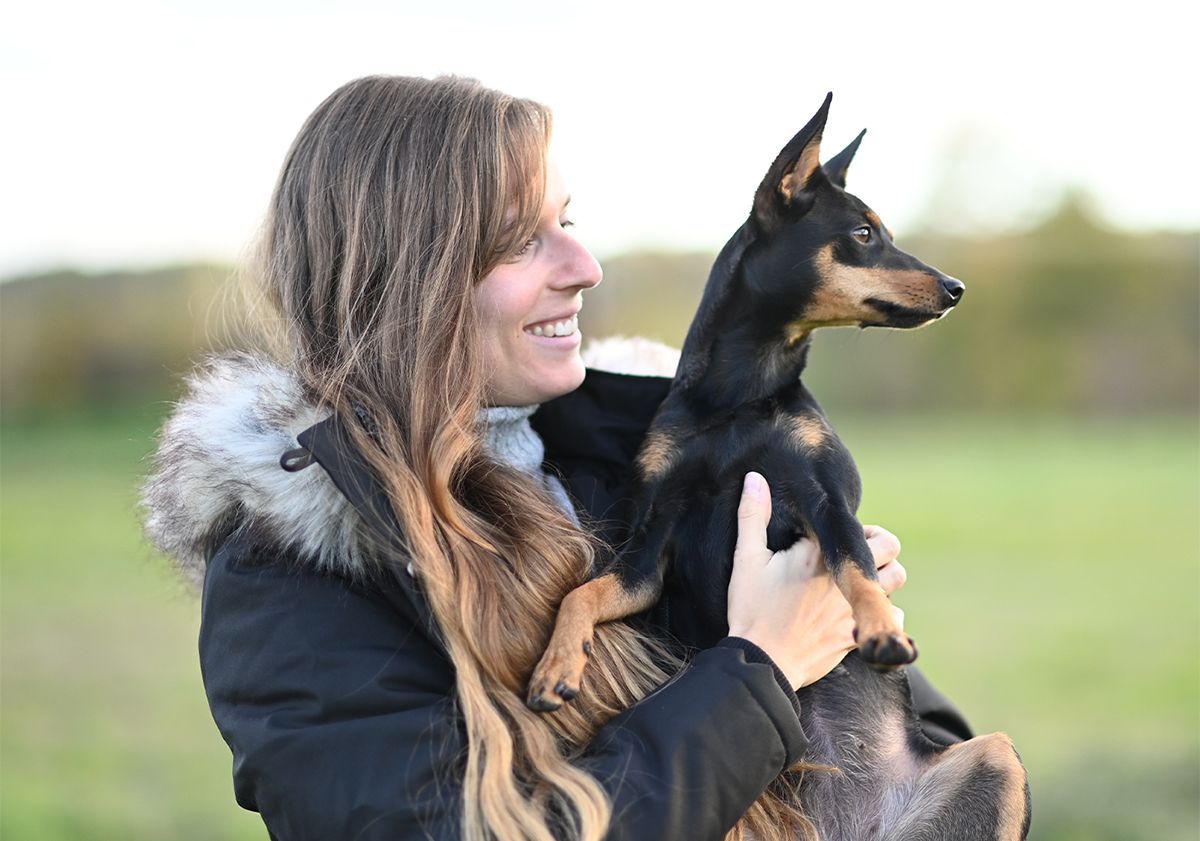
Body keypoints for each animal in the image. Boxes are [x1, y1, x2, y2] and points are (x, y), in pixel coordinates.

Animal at [528, 95, 1032, 835]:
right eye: (862, 234)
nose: (955, 287)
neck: (740, 394)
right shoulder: (649, 548)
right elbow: (581, 593)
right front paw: (555, 668)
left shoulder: (824, 498)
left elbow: (856, 566)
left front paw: (881, 629)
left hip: (999, 758)